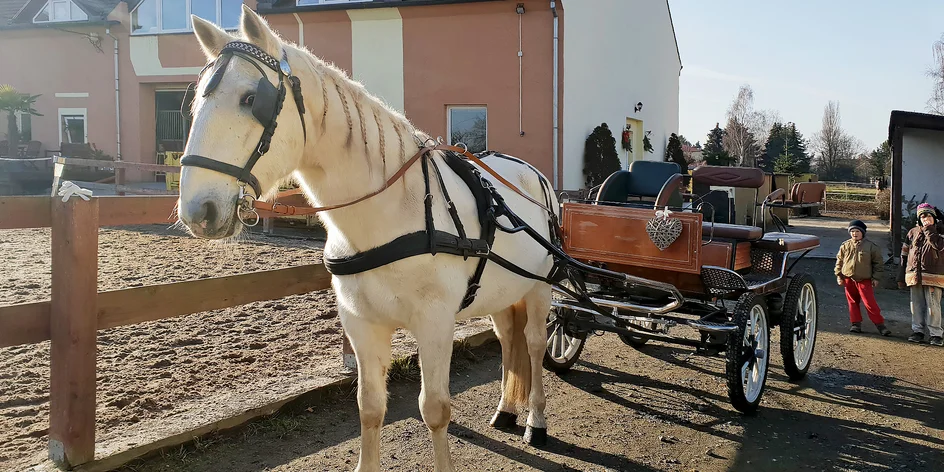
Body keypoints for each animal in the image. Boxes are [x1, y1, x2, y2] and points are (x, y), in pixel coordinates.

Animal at [178, 5, 560, 470]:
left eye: (251, 99)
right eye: (197, 101)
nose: (197, 210)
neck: (391, 213)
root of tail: (532, 173)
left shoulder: (435, 322)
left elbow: (435, 408)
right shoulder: (361, 323)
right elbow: (370, 406)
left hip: (540, 288)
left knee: (536, 345)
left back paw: (536, 421)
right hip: (503, 292)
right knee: (508, 338)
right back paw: (506, 410)